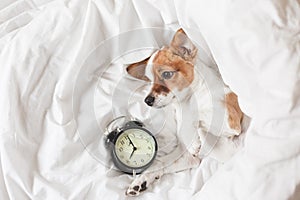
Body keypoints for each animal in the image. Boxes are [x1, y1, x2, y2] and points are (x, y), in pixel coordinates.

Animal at [124, 28, 244, 196]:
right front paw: (141, 180)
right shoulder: (187, 157)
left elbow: (199, 118)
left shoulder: (231, 123)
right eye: (149, 80)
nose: (147, 100)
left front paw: (194, 139)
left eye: (166, 74)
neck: (186, 103)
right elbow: (160, 162)